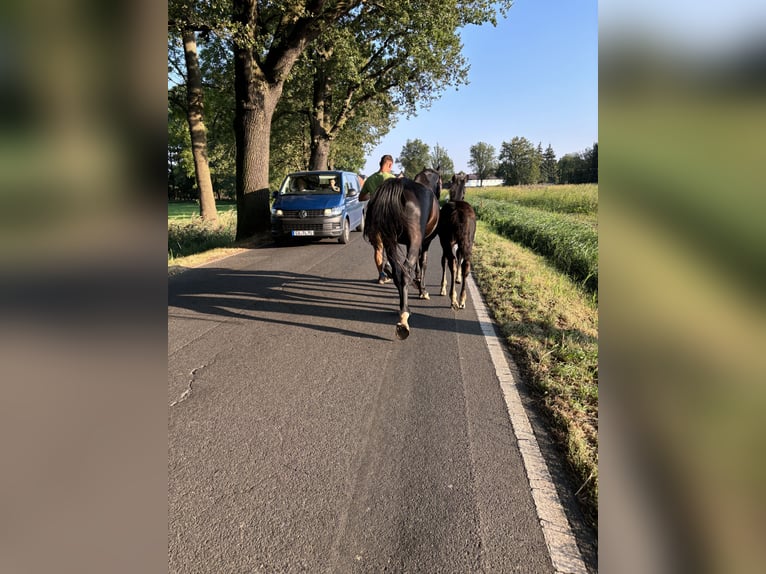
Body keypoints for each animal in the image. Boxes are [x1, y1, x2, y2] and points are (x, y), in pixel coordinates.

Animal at [366, 169, 444, 340]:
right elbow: (423, 263)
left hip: (389, 241)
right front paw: (423, 290)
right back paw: (404, 317)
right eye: (441, 182)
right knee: (404, 273)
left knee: (397, 272)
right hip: (414, 240)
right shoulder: (424, 242)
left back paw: (403, 308)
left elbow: (416, 266)